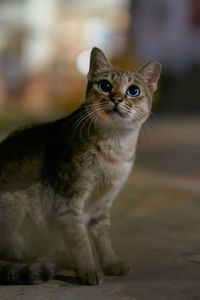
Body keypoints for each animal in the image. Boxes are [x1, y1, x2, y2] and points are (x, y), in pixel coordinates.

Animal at [0, 47, 161, 286]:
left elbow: (103, 240)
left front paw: (110, 263)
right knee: (17, 252)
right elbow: (80, 241)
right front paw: (88, 269)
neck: (116, 149)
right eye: (105, 86)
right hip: (15, 203)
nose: (117, 98)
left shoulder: (102, 205)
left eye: (133, 91)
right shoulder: (68, 203)